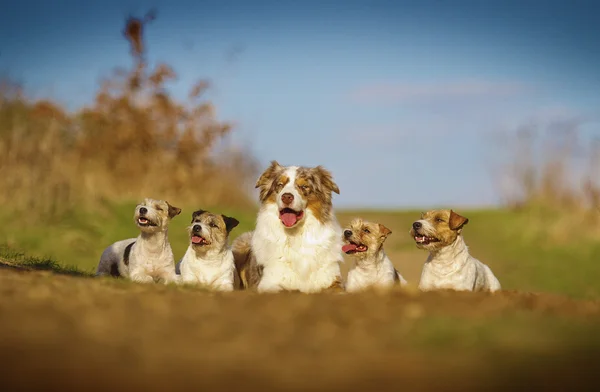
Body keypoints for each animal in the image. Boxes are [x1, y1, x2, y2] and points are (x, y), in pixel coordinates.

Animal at [232, 161, 344, 292]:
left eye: (304, 186)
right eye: (280, 185)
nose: (286, 197)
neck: (295, 234)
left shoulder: (333, 280)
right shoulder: (269, 282)